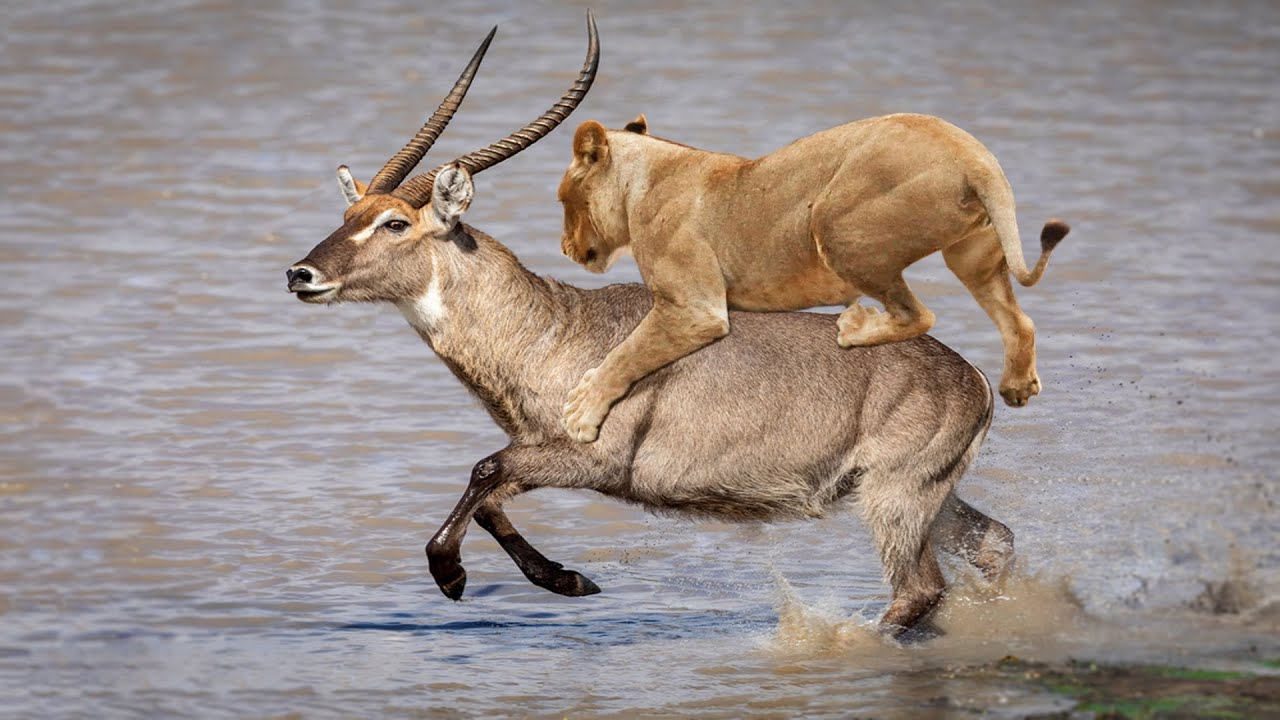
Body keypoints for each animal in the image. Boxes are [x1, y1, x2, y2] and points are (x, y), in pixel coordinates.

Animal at [558, 112, 1069, 443]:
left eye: (564, 199)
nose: (564, 248)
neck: (647, 176)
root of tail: (974, 157)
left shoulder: (694, 308)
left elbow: (627, 353)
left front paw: (581, 412)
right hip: (971, 253)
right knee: (1019, 321)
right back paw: (1018, 386)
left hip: (835, 224)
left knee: (919, 314)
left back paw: (853, 326)